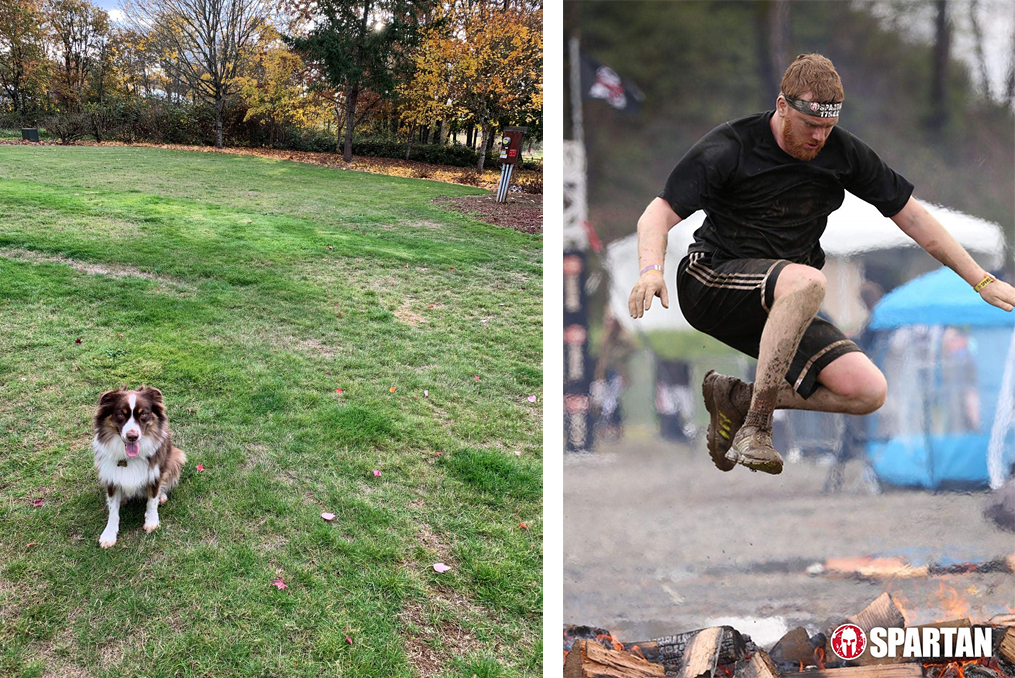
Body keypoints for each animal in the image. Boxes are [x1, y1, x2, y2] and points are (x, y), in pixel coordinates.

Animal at [92, 383, 186, 548]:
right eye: (120, 414)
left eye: (144, 414)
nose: (132, 436)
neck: (129, 458)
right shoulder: (110, 475)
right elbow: (113, 510)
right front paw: (109, 534)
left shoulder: (155, 472)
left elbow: (152, 500)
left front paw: (152, 522)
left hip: (177, 456)